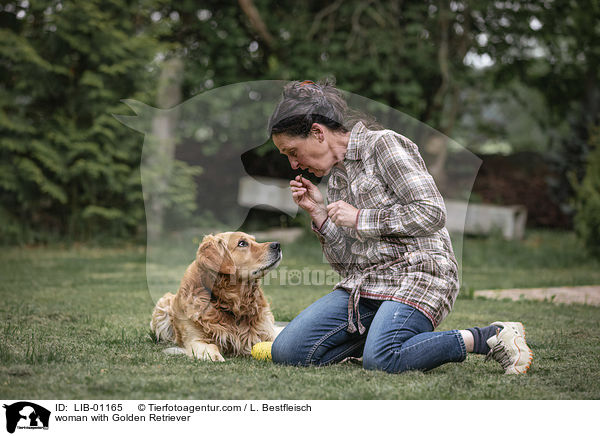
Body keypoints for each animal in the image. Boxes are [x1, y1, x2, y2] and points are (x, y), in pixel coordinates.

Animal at [150, 232, 282, 362]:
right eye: (242, 243)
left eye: (254, 240)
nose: (277, 245)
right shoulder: (195, 340)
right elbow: (211, 346)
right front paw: (215, 356)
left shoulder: (266, 331)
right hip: (162, 308)